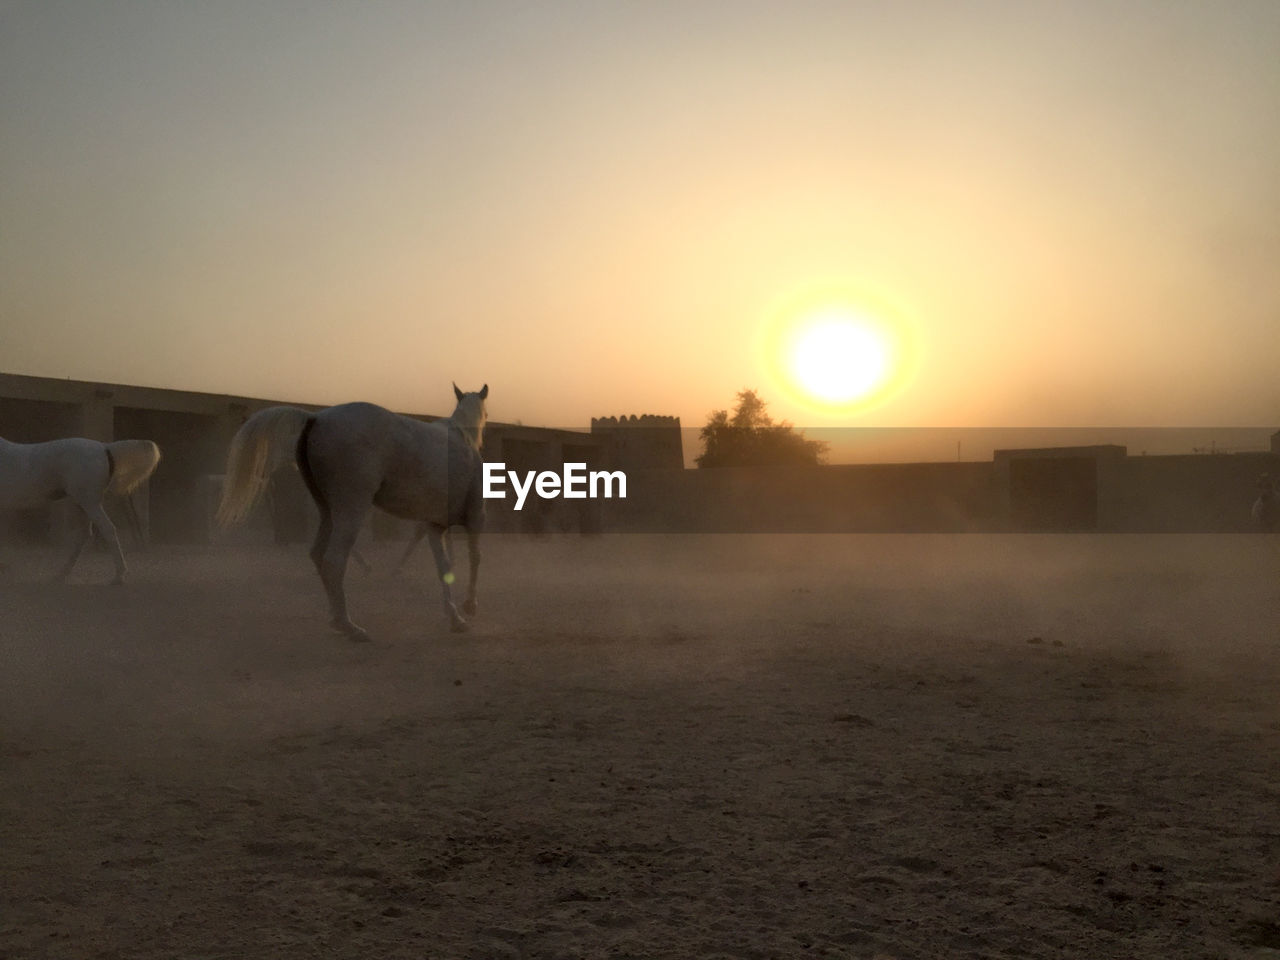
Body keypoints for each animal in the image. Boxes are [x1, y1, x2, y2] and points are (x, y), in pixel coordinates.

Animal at [0, 437, 162, 586]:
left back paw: (118, 576)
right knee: (84, 534)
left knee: (107, 529)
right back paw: (61, 574)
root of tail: (105, 448)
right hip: (83, 504)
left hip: (90, 503)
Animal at [217, 384, 486, 640]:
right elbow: (474, 558)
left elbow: (444, 566)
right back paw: (350, 626)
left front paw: (455, 618)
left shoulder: (434, 525)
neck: (462, 439)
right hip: (352, 508)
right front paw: (470, 606)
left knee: (319, 555)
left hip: (328, 511)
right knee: (334, 560)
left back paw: (337, 618)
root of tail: (316, 418)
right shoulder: (473, 518)